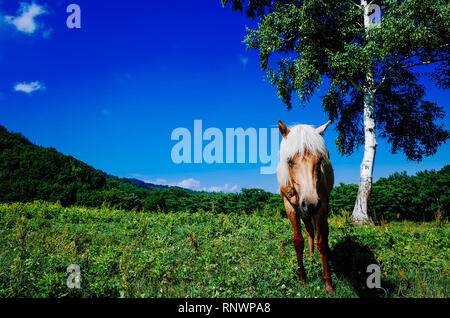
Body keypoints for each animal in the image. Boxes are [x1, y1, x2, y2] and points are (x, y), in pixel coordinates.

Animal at [274, 120, 334, 294]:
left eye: (320, 160)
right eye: (289, 161)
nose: (311, 203)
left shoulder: (322, 206)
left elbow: (322, 242)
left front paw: (328, 283)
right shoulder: (290, 207)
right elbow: (298, 242)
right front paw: (302, 277)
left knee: (322, 232)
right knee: (310, 232)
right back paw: (311, 258)